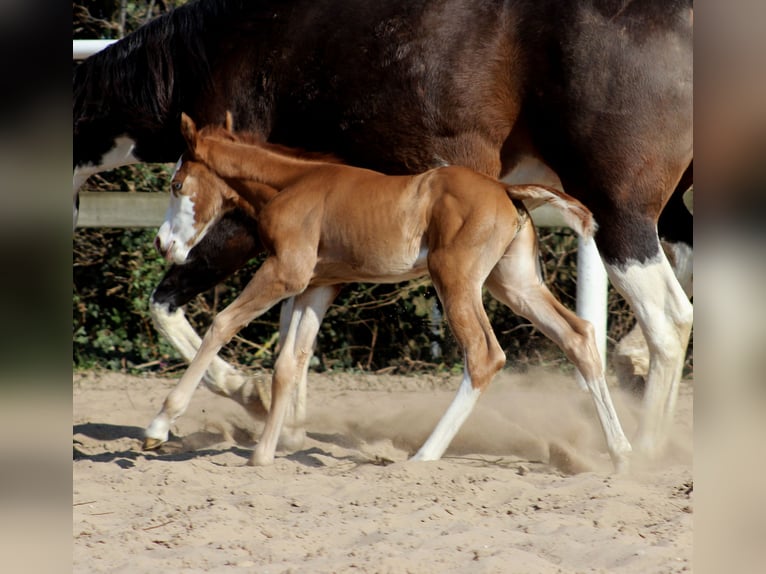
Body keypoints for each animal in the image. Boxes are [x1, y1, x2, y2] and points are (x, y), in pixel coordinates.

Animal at [147, 116, 632, 472]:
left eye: (176, 184)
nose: (163, 244)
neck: (293, 186)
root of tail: (506, 188)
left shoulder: (285, 273)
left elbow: (222, 324)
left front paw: (160, 424)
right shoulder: (317, 285)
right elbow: (288, 363)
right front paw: (264, 453)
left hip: (455, 280)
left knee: (484, 355)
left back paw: (424, 455)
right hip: (514, 283)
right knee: (578, 336)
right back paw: (622, 452)